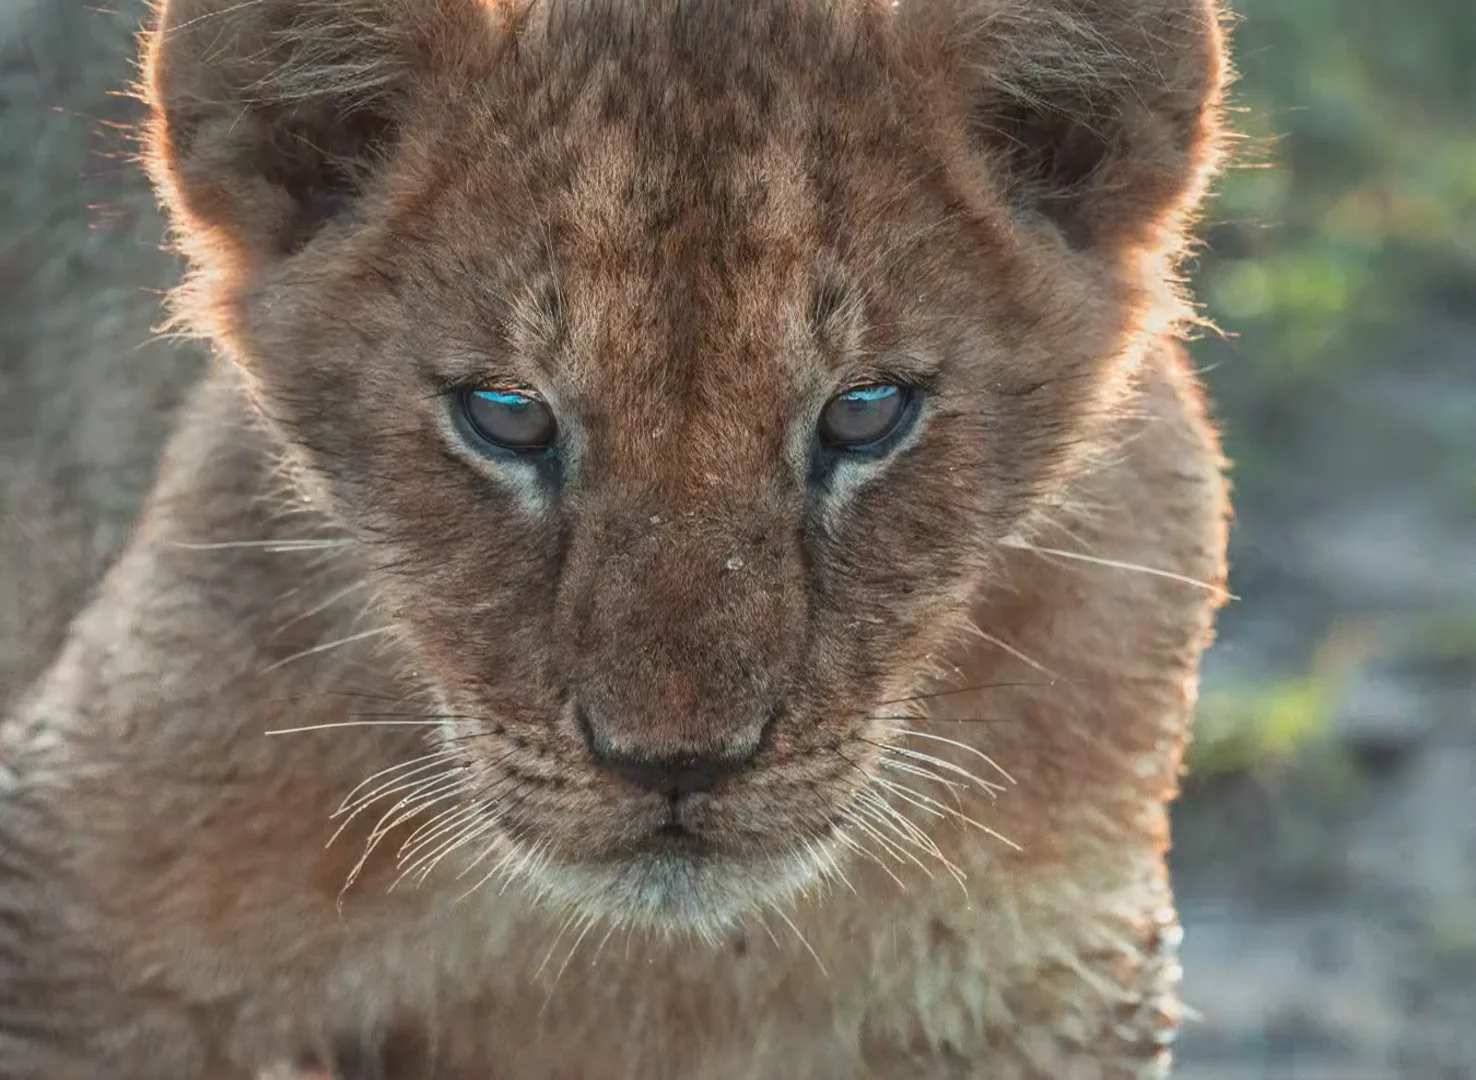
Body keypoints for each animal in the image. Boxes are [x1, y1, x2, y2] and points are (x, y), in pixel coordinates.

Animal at [0, 0, 1231, 1076]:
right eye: (506, 415)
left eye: (867, 412)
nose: (675, 764)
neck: (665, 967)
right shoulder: (69, 922)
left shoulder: (1061, 981)